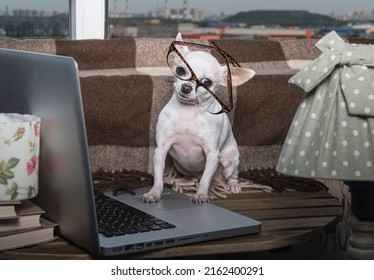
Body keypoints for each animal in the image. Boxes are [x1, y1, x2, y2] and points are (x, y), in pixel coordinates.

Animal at [142, 34, 254, 202]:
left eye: (206, 82)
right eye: (180, 70)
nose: (186, 88)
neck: (188, 112)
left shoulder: (212, 154)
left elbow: (206, 179)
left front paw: (201, 194)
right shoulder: (161, 149)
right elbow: (158, 177)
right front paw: (154, 192)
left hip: (229, 162)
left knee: (229, 176)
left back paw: (233, 185)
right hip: (181, 166)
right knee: (193, 177)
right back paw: (182, 181)